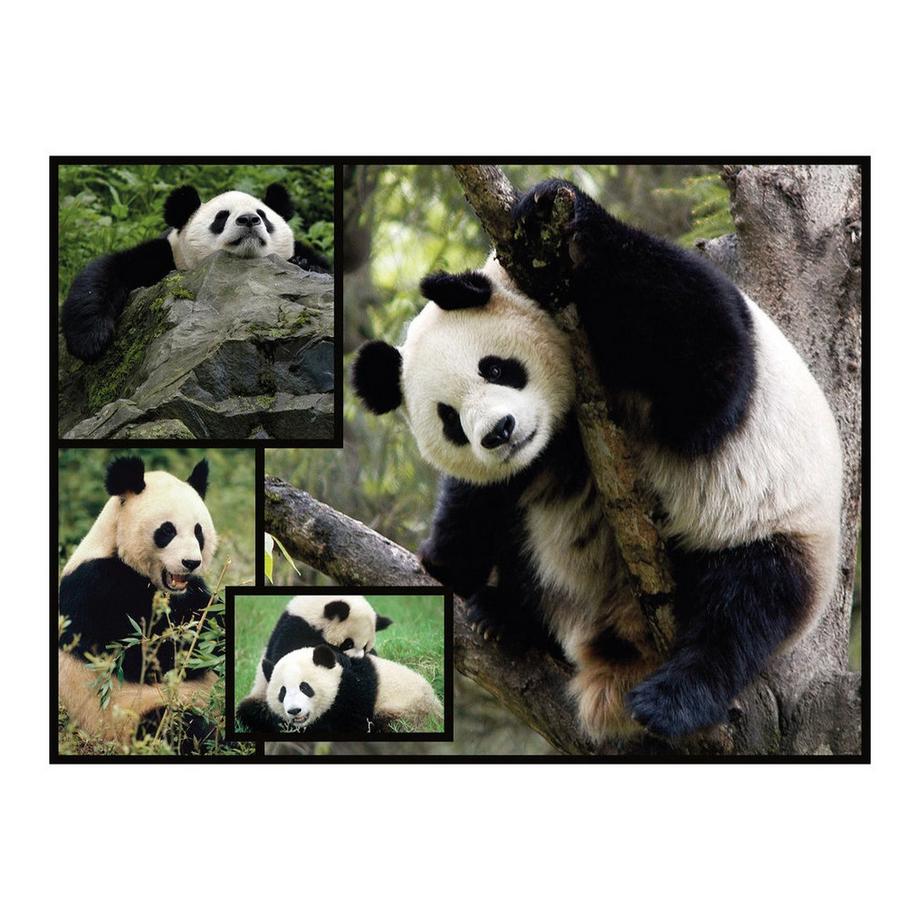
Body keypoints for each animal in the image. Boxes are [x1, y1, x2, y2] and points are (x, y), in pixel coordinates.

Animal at [58, 456, 221, 753]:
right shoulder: (94, 588)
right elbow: (139, 655)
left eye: (198, 531)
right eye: (167, 530)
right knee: (178, 725)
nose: (191, 562)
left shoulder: (191, 591)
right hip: (129, 716)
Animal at [62, 183, 331, 362]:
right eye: (221, 217)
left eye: (263, 216)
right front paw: (90, 341)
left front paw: (305, 263)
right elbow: (108, 271)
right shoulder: (166, 255)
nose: (248, 219)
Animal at [236, 645, 443, 736]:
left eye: (305, 687)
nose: (294, 711)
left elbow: (347, 725)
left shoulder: (355, 692)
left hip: (410, 711)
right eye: (282, 692)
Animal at [352, 177, 843, 742]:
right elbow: (481, 498)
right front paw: (447, 559)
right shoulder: (532, 457)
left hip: (774, 526)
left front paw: (552, 207)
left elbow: (708, 371)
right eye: (450, 420)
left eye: (495, 368)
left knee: (746, 606)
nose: (499, 433)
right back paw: (507, 617)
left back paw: (673, 699)